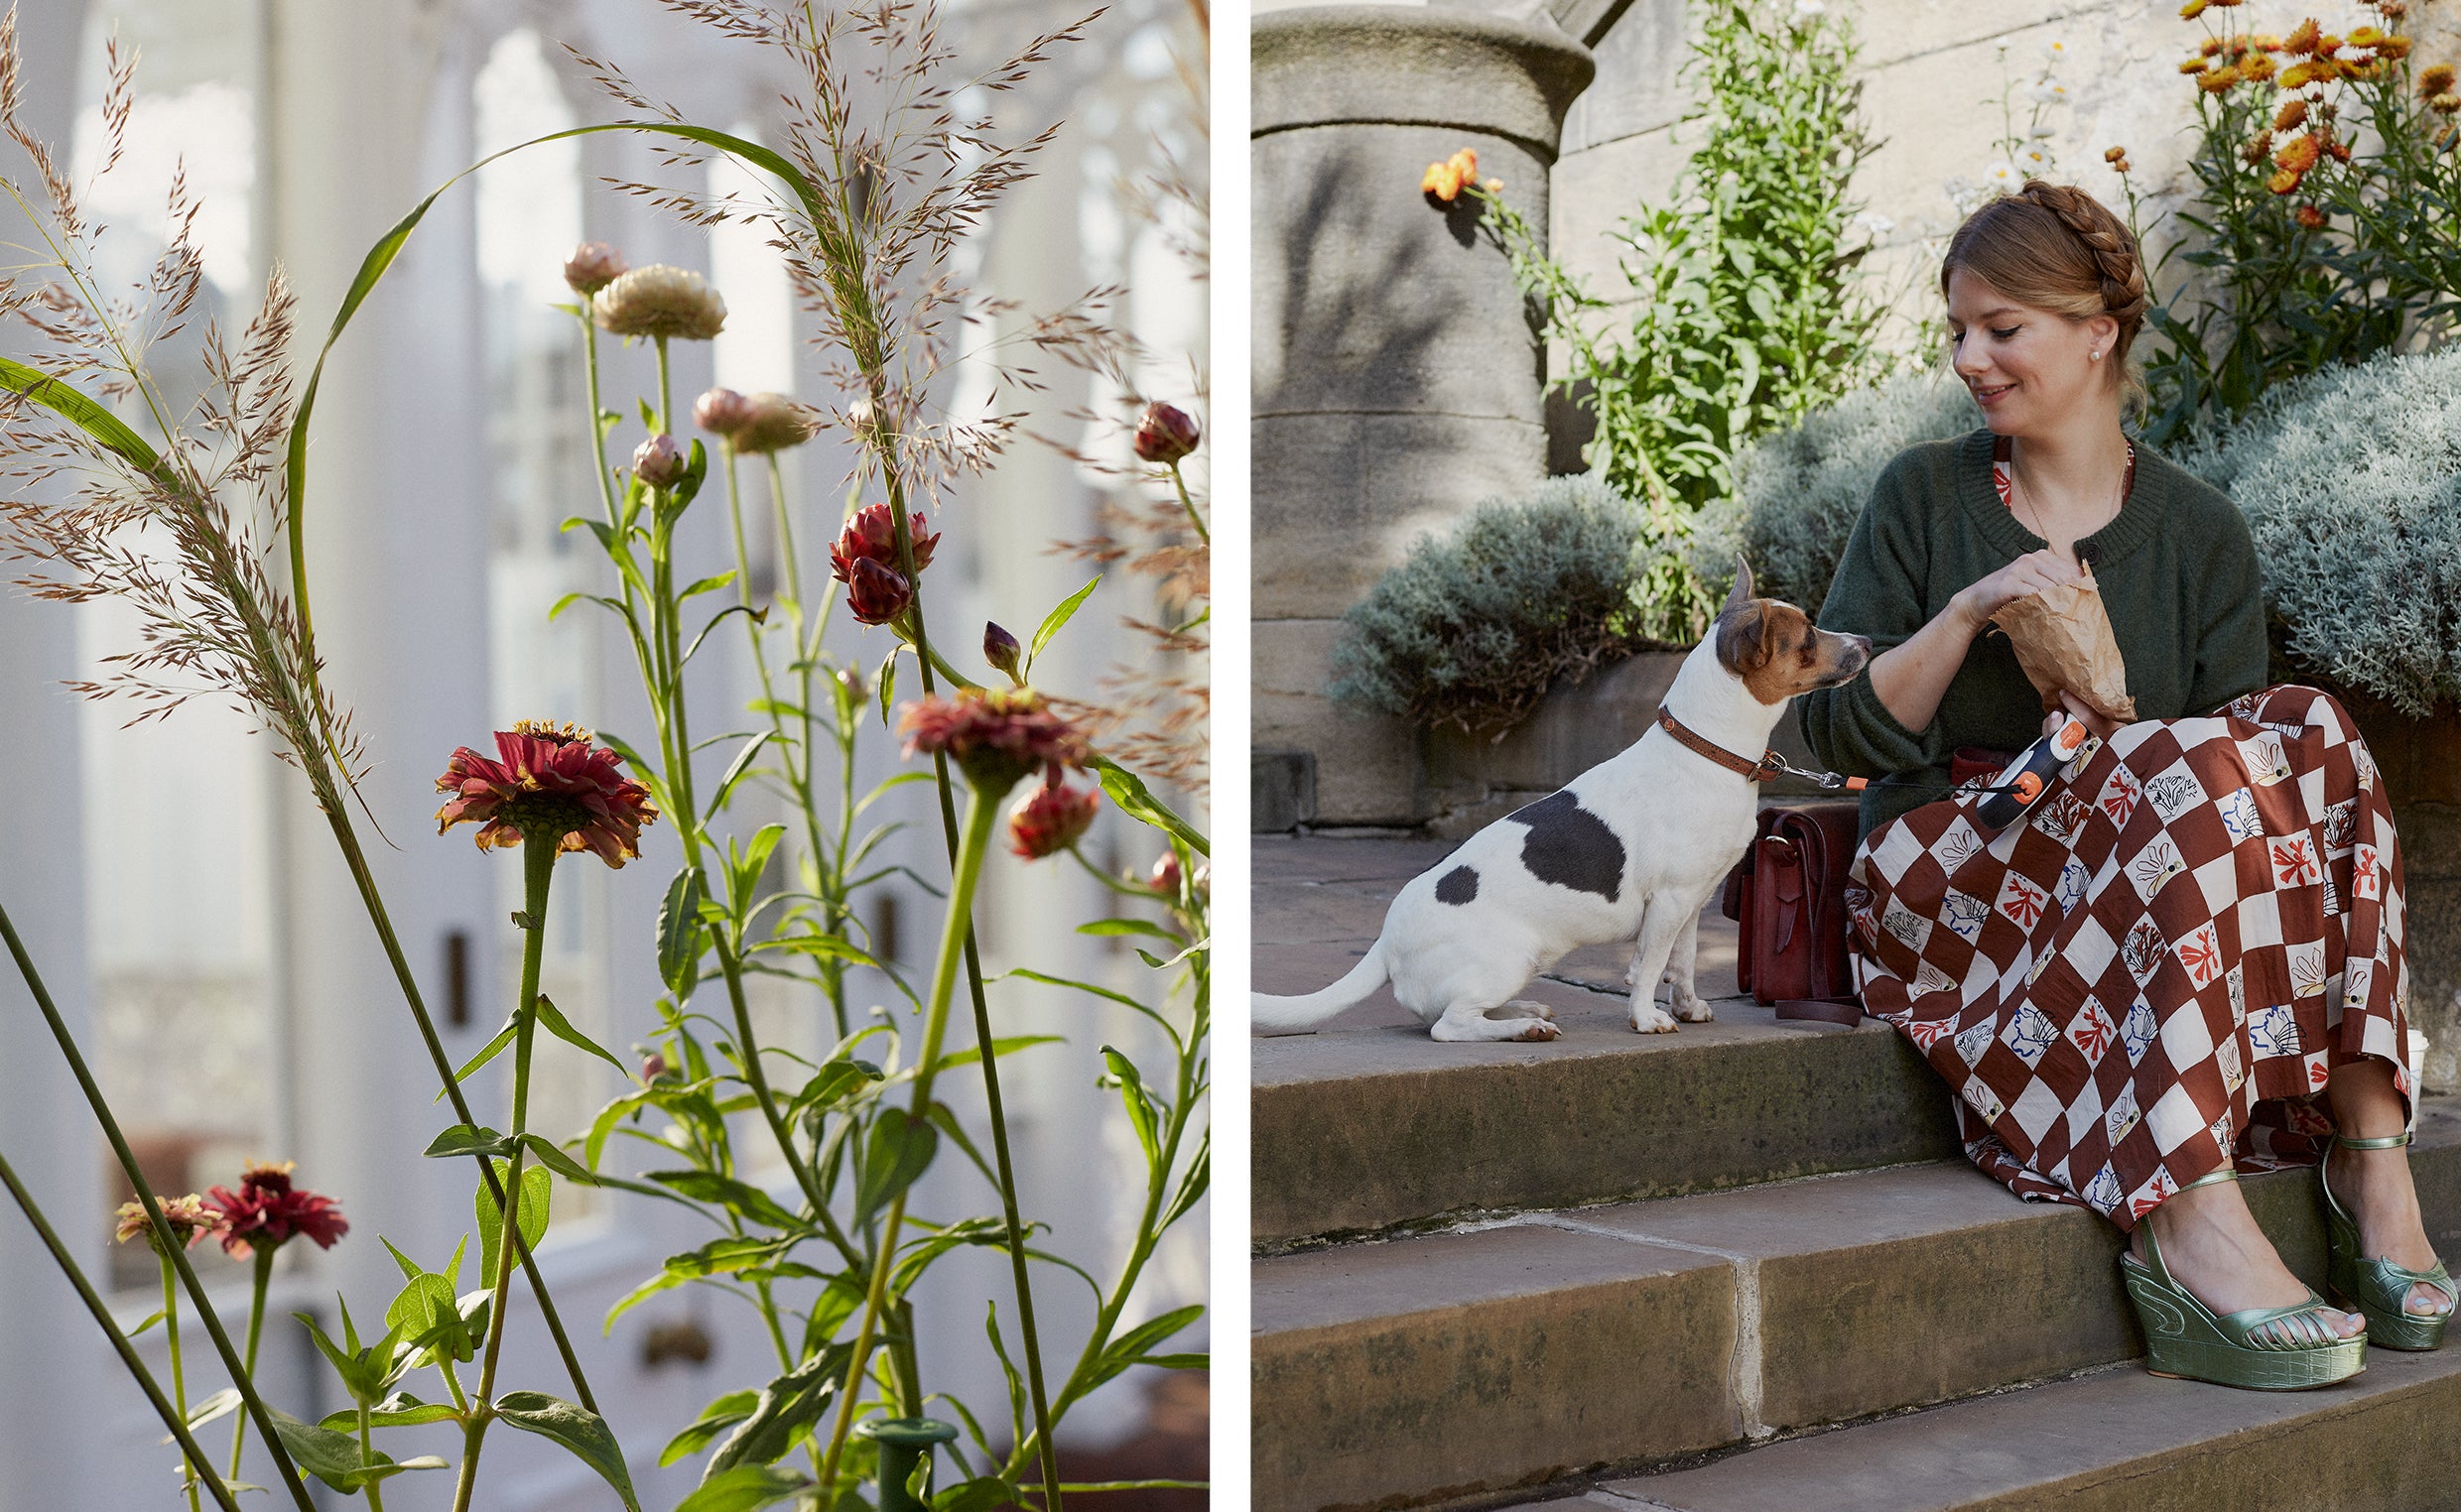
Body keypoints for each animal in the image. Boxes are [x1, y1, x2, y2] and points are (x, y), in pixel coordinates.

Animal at [1259, 563, 1870, 1047]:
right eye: (1809, 636)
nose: (1866, 641)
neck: (1706, 749)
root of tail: (1385, 943)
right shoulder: (1670, 900)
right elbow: (1649, 966)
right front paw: (1647, 1018)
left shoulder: (1693, 903)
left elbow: (1684, 962)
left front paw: (1689, 1007)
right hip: (1509, 957)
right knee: (1449, 1025)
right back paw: (1521, 1027)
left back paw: (1525, 1009)